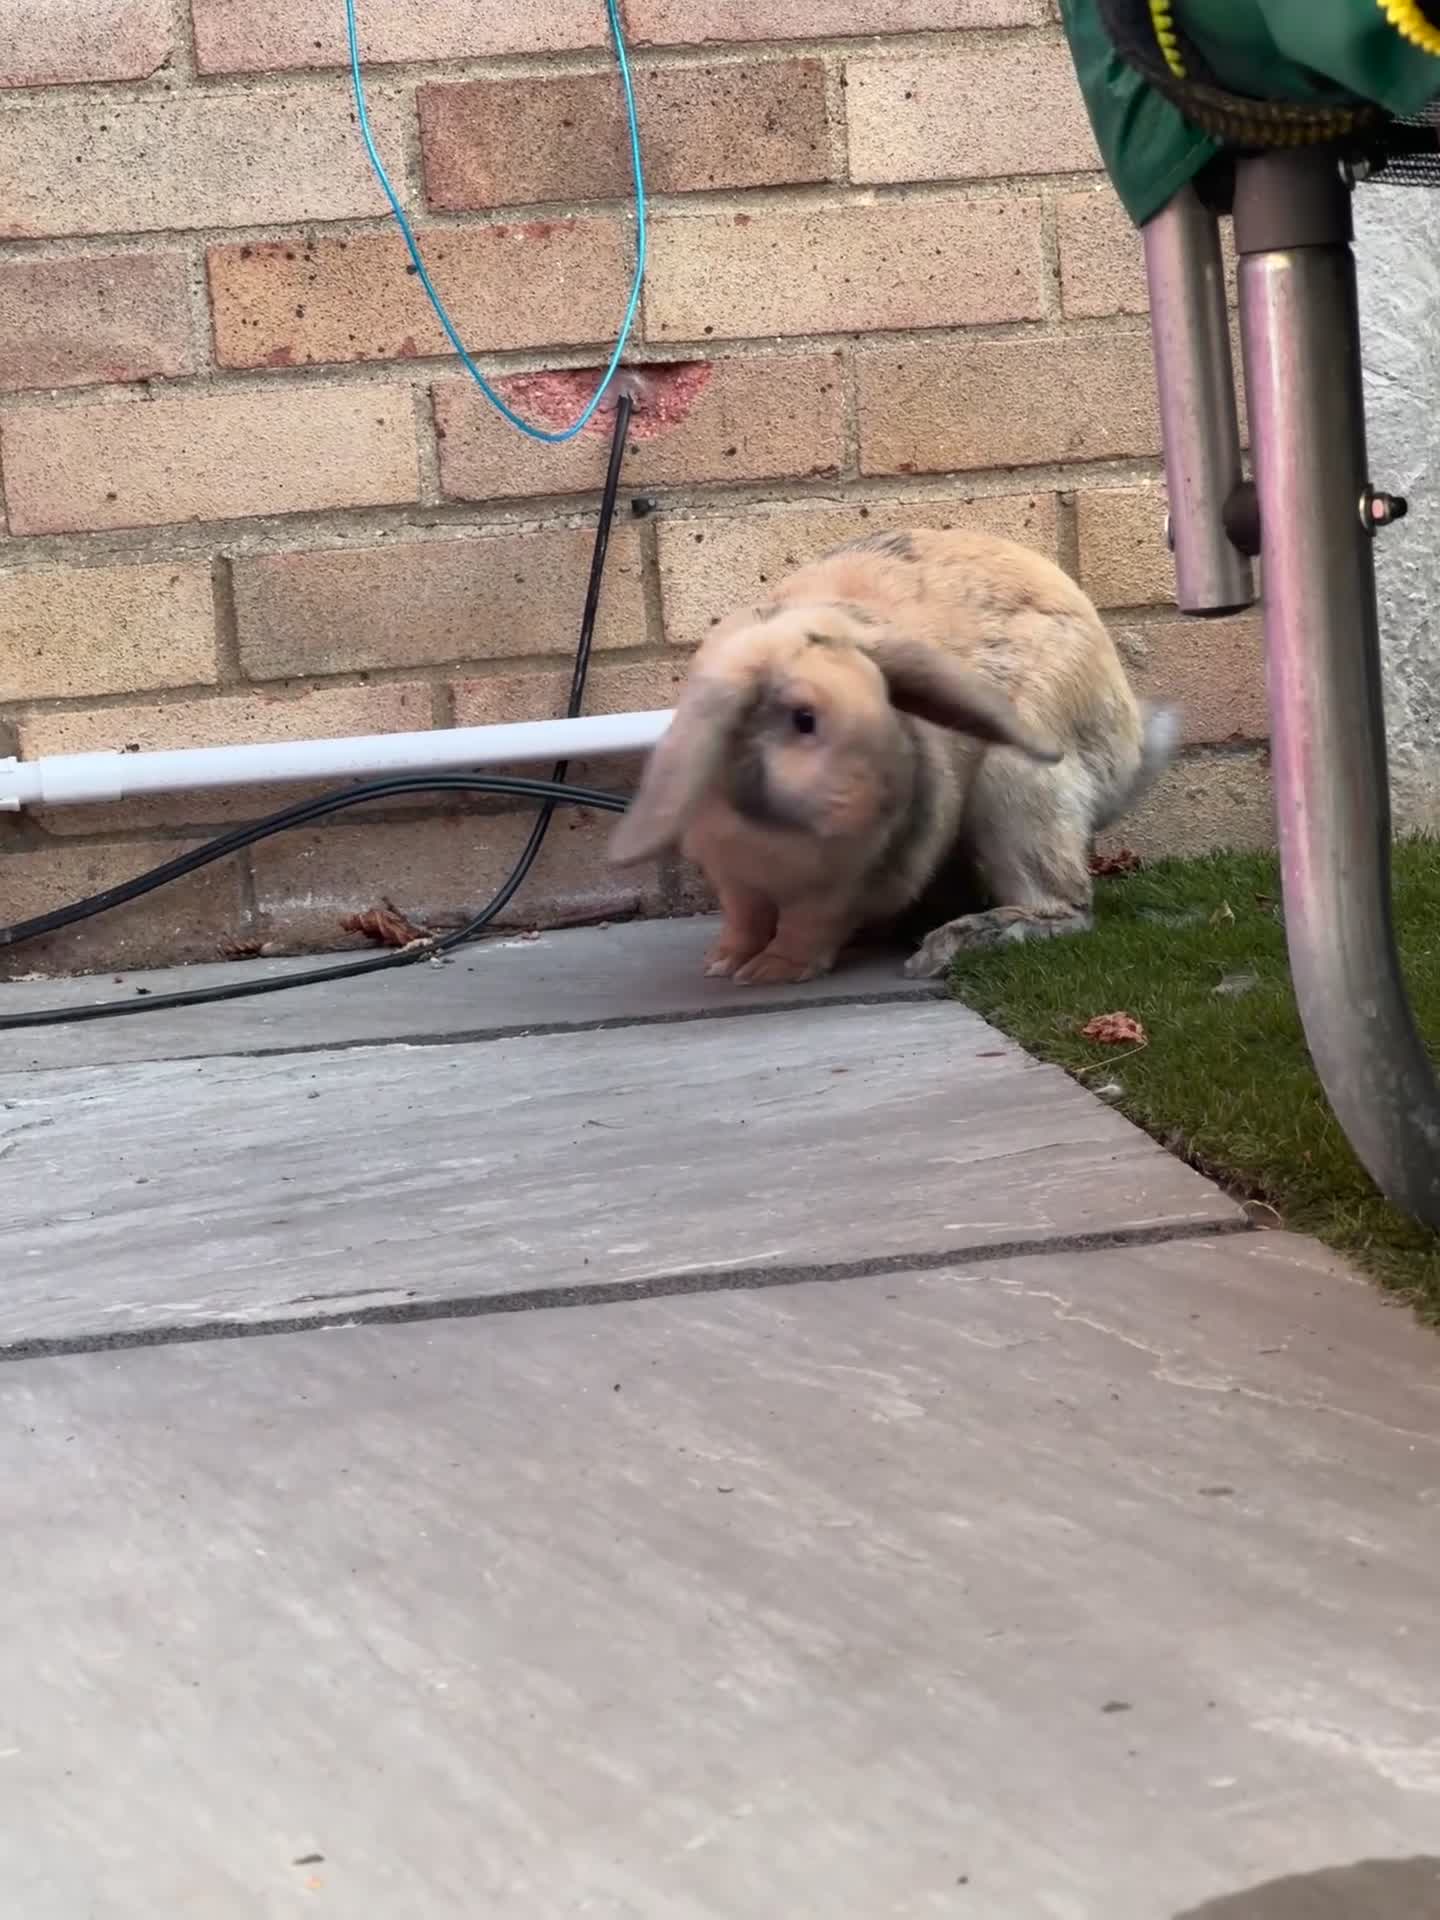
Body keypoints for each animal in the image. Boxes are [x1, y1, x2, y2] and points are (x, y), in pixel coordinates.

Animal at [608, 526, 1178, 985]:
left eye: (887, 700)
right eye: (802, 718)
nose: (892, 799)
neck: (774, 830)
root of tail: (1130, 748)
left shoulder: (845, 884)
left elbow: (807, 926)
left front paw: (773, 973)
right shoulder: (734, 877)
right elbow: (745, 919)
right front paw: (724, 963)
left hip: (1019, 790)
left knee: (1065, 906)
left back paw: (950, 944)